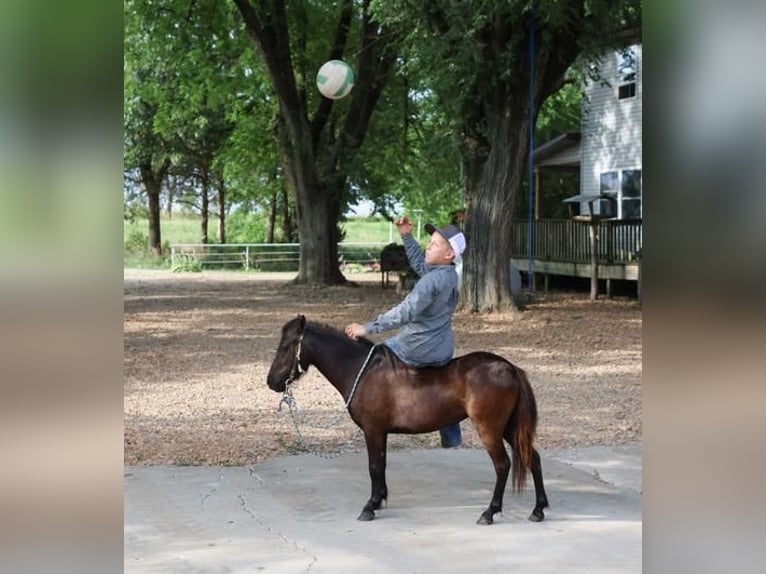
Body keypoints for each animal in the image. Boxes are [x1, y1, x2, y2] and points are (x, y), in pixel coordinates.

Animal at [268, 316, 548, 528]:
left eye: (286, 346)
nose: (271, 382)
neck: (362, 371)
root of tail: (509, 368)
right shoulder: (381, 433)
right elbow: (381, 466)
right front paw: (380, 500)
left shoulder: (373, 431)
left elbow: (374, 467)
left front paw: (370, 507)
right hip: (509, 428)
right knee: (532, 458)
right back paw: (538, 509)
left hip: (490, 429)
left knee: (503, 465)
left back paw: (490, 512)